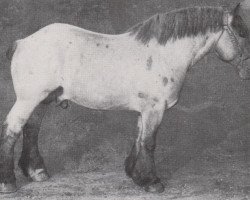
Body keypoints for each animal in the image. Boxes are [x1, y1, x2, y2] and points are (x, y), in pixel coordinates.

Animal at [0, 3, 249, 194]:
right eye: (241, 33)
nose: (247, 71)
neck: (164, 55)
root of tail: (22, 42)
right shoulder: (154, 109)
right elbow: (148, 142)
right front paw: (152, 182)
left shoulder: (145, 110)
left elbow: (138, 139)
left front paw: (135, 175)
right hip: (28, 99)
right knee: (12, 130)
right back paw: (8, 183)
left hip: (42, 99)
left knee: (31, 130)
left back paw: (36, 172)